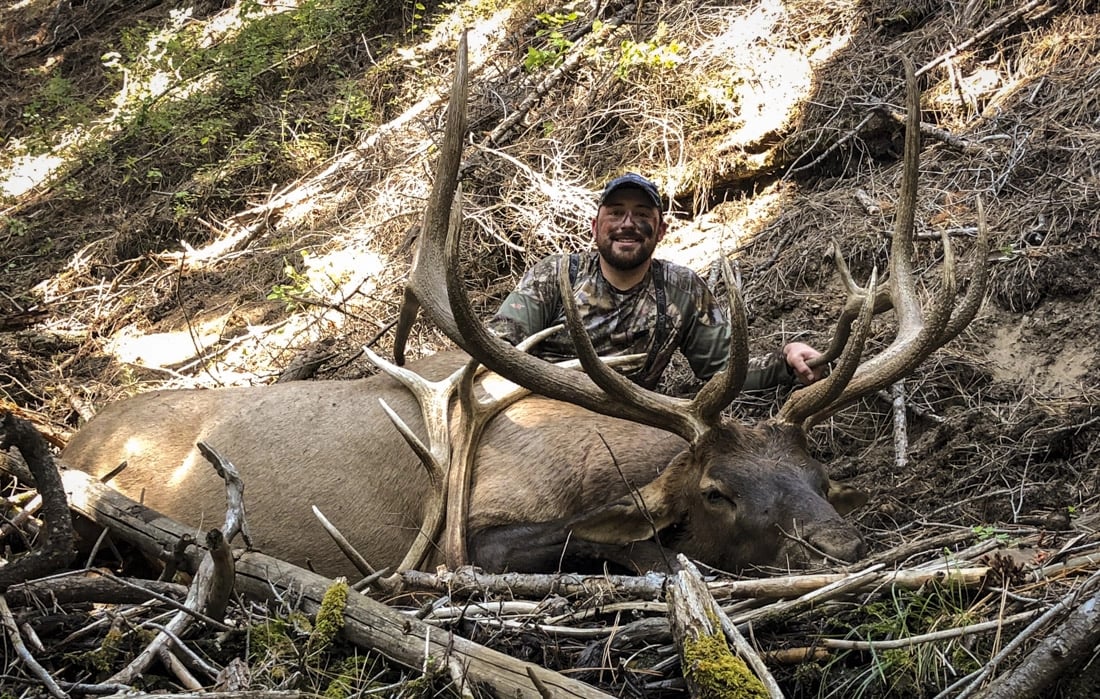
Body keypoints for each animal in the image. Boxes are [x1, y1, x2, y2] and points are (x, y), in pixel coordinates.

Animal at [60, 35, 989, 579]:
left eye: (819, 477)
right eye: (718, 491)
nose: (840, 546)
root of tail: (73, 437)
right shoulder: (465, 536)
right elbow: (613, 539)